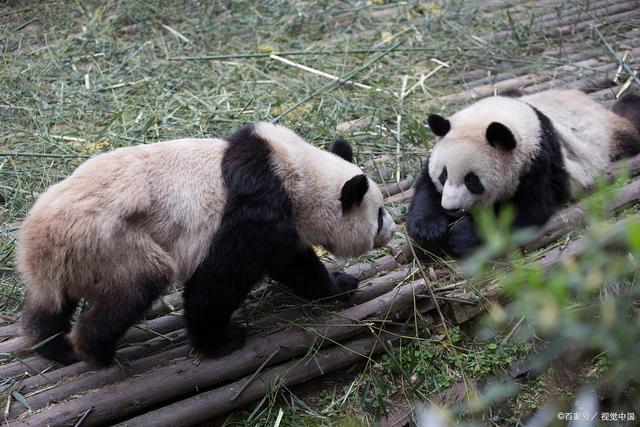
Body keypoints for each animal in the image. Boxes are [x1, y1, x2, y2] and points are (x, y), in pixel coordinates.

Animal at [18, 122, 396, 366]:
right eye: (378, 214)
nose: (392, 229)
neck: (297, 175)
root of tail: (36, 239)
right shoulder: (257, 209)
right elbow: (218, 281)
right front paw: (220, 341)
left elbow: (296, 265)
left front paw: (339, 284)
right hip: (112, 242)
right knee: (136, 285)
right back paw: (96, 352)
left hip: (65, 263)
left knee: (49, 305)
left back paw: (55, 347)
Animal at [408, 90, 640, 258]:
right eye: (443, 175)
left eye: (472, 180)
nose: (451, 208)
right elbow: (426, 189)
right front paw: (428, 231)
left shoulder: (537, 164)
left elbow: (528, 210)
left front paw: (460, 235)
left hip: (609, 140)